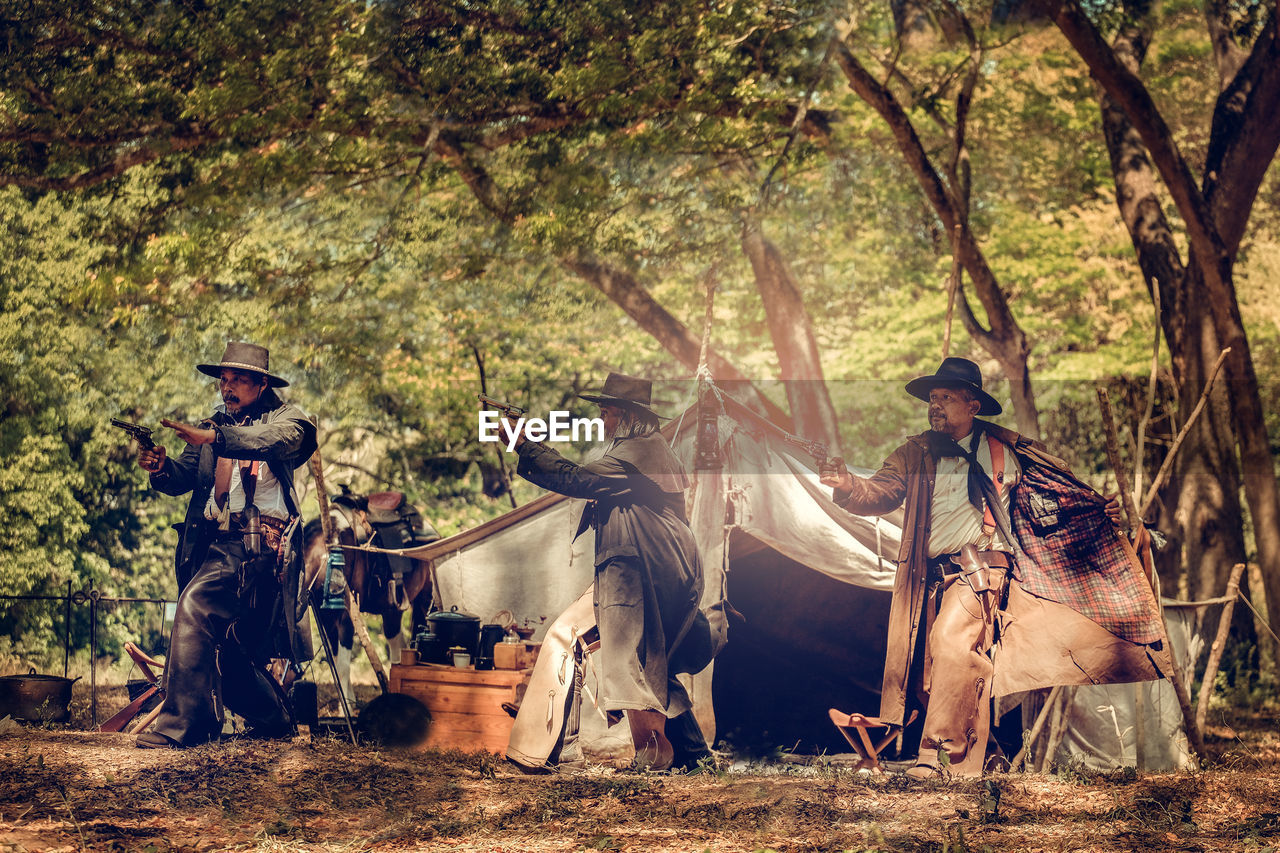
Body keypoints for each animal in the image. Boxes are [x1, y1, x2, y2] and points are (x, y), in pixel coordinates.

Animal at [300, 484, 437, 701]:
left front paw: (347, 704)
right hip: (392, 610)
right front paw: (349, 700)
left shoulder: (347, 616)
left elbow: (343, 666)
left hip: (425, 602)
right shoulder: (326, 617)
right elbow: (337, 663)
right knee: (397, 646)